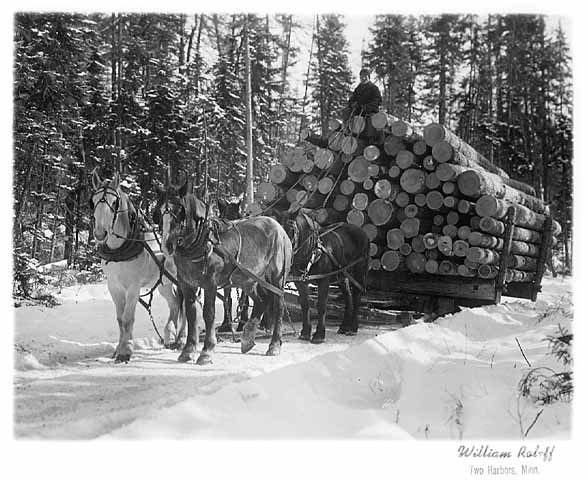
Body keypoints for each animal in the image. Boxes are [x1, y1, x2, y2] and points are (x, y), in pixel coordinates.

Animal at [89, 171, 186, 362]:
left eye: (114, 202)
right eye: (93, 200)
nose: (100, 234)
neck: (119, 249)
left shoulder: (133, 287)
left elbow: (128, 319)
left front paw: (126, 351)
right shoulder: (113, 286)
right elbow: (120, 320)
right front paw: (118, 349)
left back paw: (181, 339)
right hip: (164, 283)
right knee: (175, 303)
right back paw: (170, 336)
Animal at [154, 184, 292, 364]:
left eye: (180, 211)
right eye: (159, 212)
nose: (167, 245)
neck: (202, 242)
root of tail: (278, 227)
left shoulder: (210, 283)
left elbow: (209, 314)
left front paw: (206, 352)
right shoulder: (187, 284)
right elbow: (191, 315)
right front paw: (188, 351)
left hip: (276, 278)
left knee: (278, 305)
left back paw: (274, 345)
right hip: (248, 279)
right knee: (261, 300)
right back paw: (247, 339)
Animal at [276, 210, 368, 342]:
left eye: (292, 229)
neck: (312, 250)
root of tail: (362, 232)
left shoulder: (324, 279)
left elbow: (321, 305)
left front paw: (319, 335)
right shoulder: (300, 282)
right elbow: (305, 304)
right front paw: (305, 333)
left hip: (360, 269)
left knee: (356, 295)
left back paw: (353, 328)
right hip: (342, 275)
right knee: (348, 296)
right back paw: (344, 326)